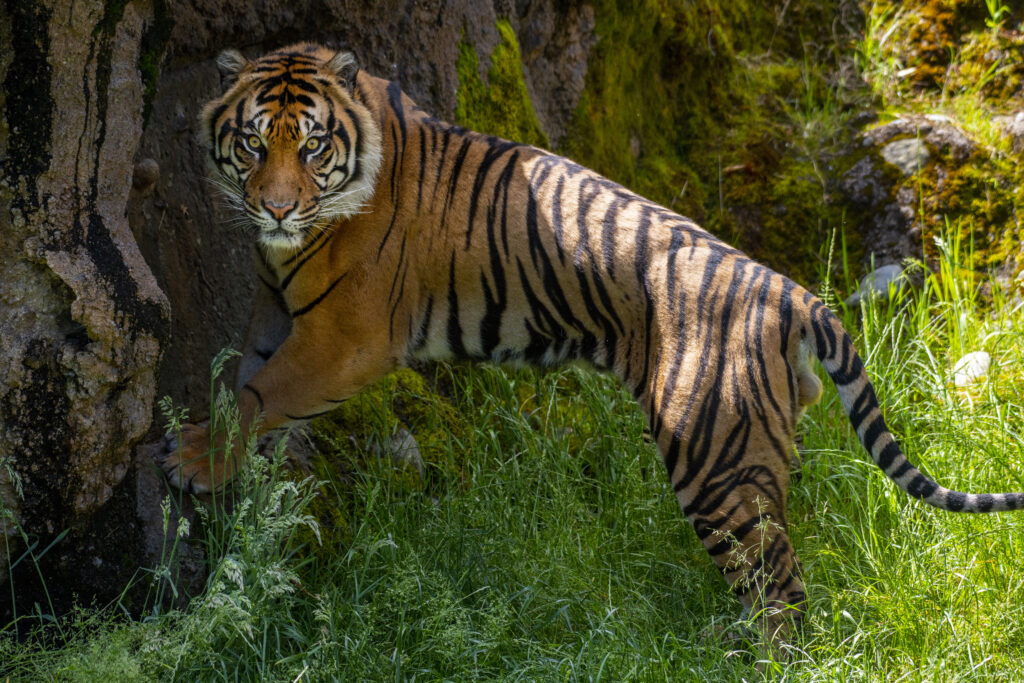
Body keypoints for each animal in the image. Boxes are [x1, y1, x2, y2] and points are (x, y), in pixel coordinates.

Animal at [159, 42, 1024, 641]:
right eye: (251, 144)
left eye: (310, 146)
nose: (274, 208)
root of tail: (791, 292)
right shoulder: (274, 308)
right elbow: (244, 376)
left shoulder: (346, 333)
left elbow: (262, 391)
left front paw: (194, 456)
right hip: (758, 447)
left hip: (711, 459)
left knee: (777, 582)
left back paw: (762, 656)